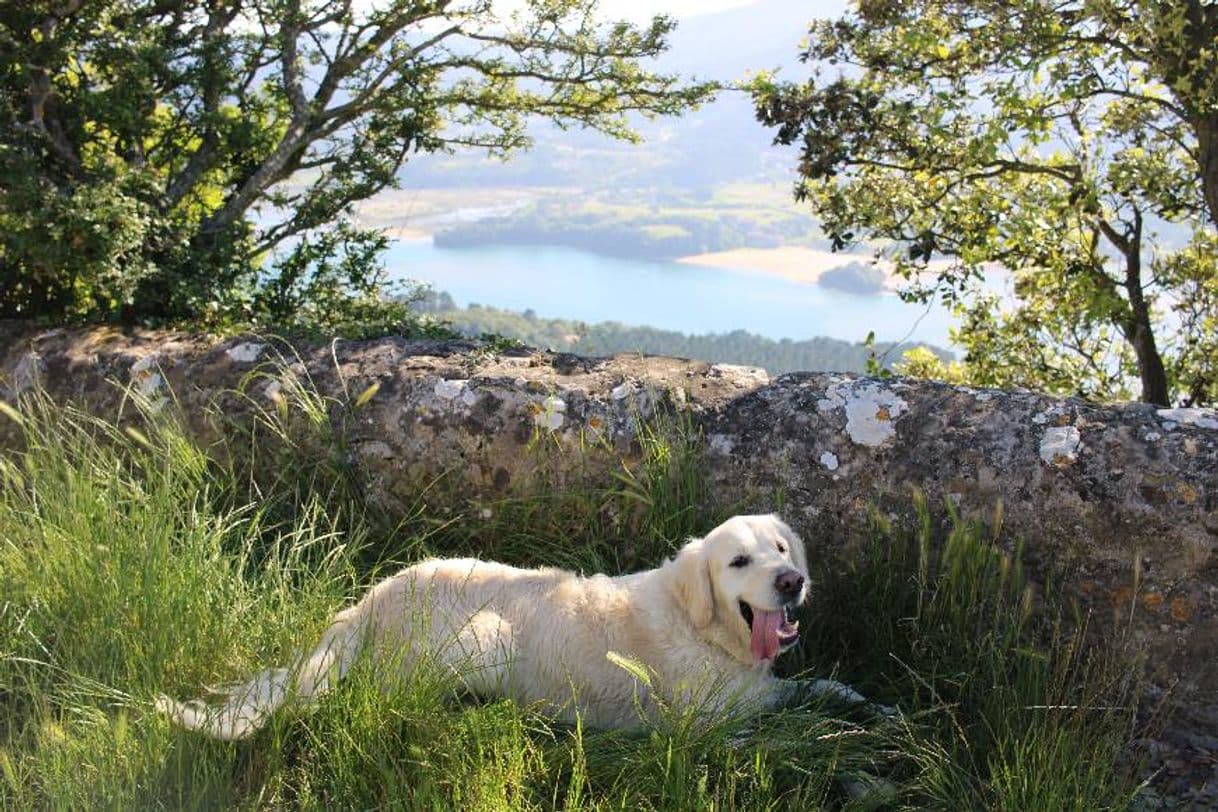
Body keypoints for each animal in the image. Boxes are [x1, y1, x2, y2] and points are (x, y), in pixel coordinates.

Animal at [157, 518, 872, 740]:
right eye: (739, 562)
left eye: (780, 548)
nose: (791, 581)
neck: (700, 624)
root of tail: (367, 603)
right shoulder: (724, 710)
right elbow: (796, 701)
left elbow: (819, 687)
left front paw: (859, 699)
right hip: (486, 641)